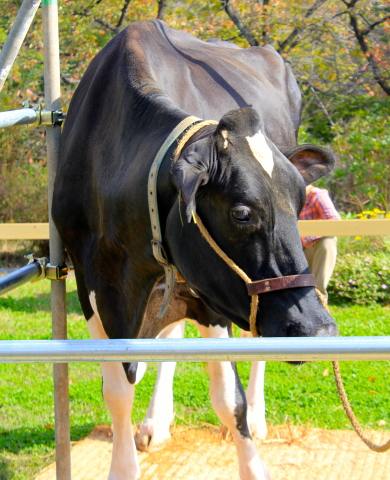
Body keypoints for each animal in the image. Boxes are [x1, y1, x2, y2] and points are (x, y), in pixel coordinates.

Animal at [52, 18, 338, 480]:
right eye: (241, 212)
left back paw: (258, 417)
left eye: (299, 204)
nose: (320, 332)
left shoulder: (212, 295)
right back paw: (155, 423)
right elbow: (116, 389)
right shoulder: (92, 283)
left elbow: (227, 399)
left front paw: (252, 459)